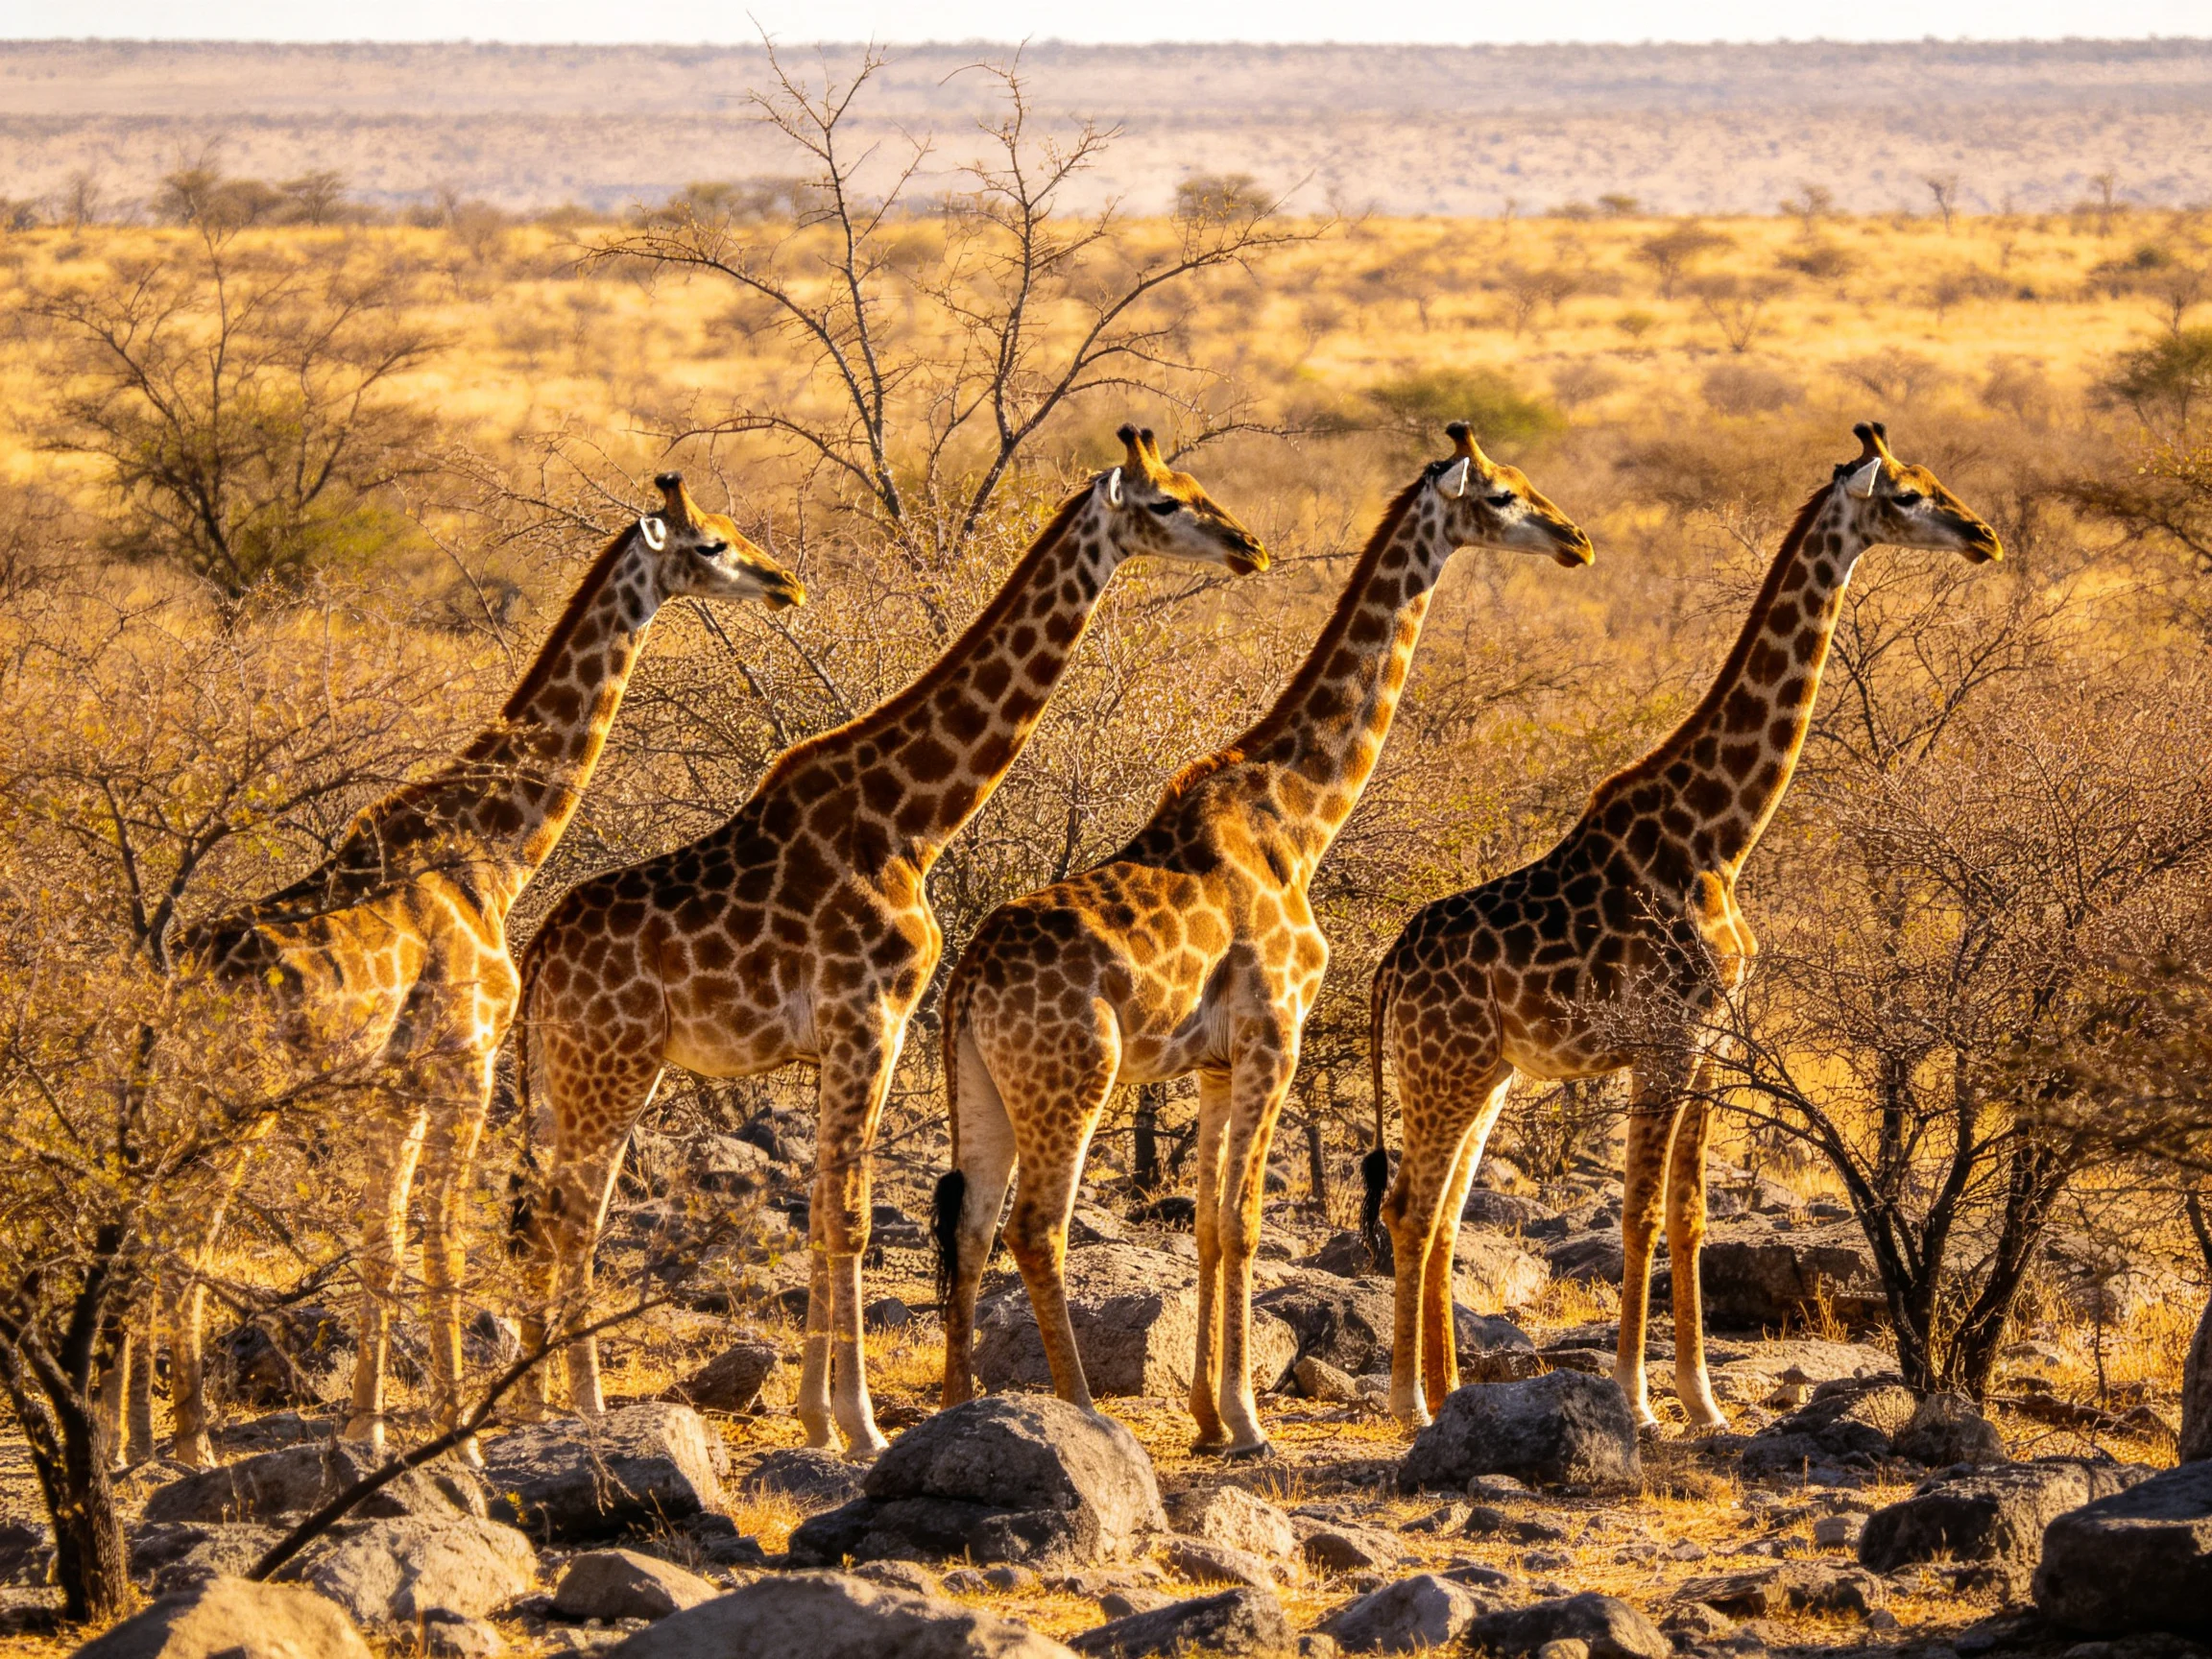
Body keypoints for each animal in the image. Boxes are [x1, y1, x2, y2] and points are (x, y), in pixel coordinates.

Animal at [107, 475, 800, 1467]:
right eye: (709, 544)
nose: (786, 584)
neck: (493, 853)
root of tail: (167, 988)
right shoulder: (466, 1062)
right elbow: (446, 1237)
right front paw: (459, 1439)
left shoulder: (393, 1086)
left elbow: (386, 1238)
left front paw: (367, 1427)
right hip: (237, 1101)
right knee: (186, 1238)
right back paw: (191, 1443)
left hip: (176, 1101)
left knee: (147, 1224)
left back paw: (131, 1437)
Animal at [513, 426, 1266, 1457]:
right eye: (1164, 504)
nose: (1248, 547)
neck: (912, 821)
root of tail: (538, 956)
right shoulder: (867, 1014)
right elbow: (854, 1218)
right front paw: (863, 1427)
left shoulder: (865, 1029)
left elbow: (827, 1211)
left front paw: (818, 1417)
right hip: (613, 1063)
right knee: (574, 1216)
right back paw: (583, 1409)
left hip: (567, 1072)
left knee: (539, 1212)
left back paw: (528, 1405)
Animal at [936, 425, 1593, 1456]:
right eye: (1499, 493)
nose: (1576, 540)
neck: (1296, 817)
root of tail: (964, 980)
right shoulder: (1274, 1035)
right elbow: (1244, 1222)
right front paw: (1246, 1423)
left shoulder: (1212, 1061)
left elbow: (1208, 1224)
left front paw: (1210, 1417)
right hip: (1072, 1076)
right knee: (1034, 1227)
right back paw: (1079, 1411)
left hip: (982, 1082)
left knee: (969, 1226)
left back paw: (960, 1408)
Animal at [1364, 423, 2002, 1432]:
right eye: (1904, 496)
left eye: (1933, 479)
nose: (1984, 535)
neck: (1721, 838)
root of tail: (1390, 965)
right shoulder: (1664, 1037)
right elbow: (1638, 1212)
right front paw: (1636, 1402)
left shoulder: (1712, 1039)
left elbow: (1693, 1213)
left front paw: (1705, 1404)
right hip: (1444, 1069)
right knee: (1410, 1207)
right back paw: (1411, 1406)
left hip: (1481, 1072)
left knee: (1442, 1211)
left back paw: (1448, 1393)